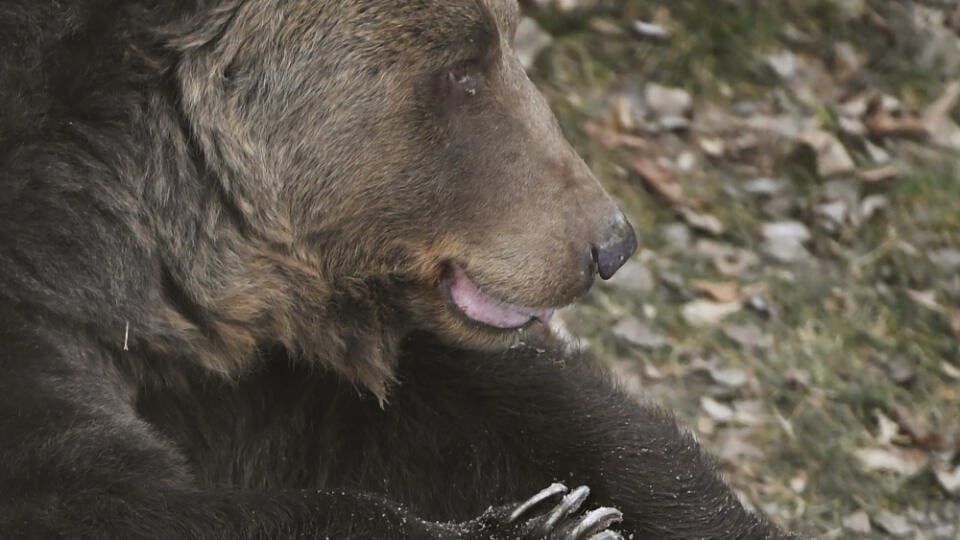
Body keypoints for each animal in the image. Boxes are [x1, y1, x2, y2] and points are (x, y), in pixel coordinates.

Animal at [0, 0, 796, 536]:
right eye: (463, 70)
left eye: (503, 38)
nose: (610, 244)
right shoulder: (41, 325)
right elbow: (100, 495)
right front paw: (543, 524)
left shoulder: (262, 353)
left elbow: (542, 411)